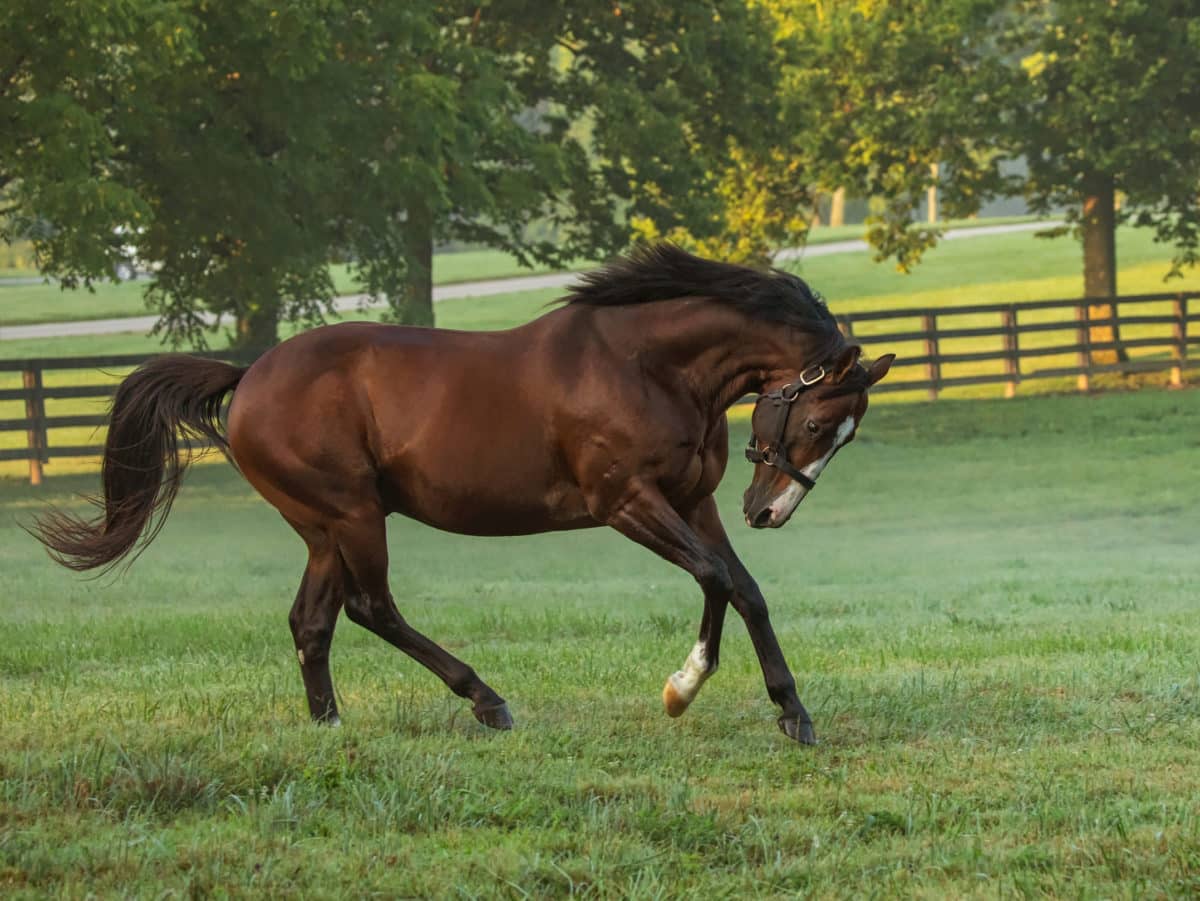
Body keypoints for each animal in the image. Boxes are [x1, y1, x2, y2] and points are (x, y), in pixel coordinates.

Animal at [32, 247, 892, 748]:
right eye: (820, 420)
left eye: (849, 435)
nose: (770, 511)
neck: (649, 364)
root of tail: (248, 377)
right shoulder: (624, 501)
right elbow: (717, 578)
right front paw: (694, 689)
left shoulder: (694, 500)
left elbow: (739, 586)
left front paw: (772, 705)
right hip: (352, 514)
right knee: (370, 608)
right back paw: (485, 699)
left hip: (321, 528)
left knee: (312, 620)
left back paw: (329, 723)